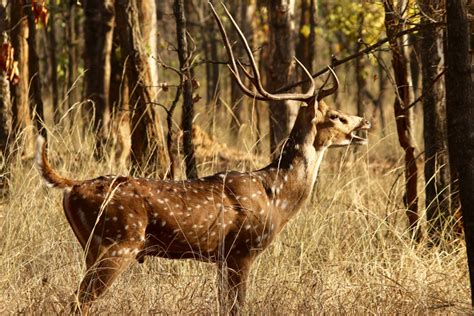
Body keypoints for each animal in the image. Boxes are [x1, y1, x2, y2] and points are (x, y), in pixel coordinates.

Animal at [36, 3, 370, 314]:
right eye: (336, 116)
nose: (363, 122)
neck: (277, 196)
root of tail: (72, 187)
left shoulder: (221, 258)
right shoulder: (241, 251)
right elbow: (237, 307)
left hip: (92, 247)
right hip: (118, 242)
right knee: (79, 303)